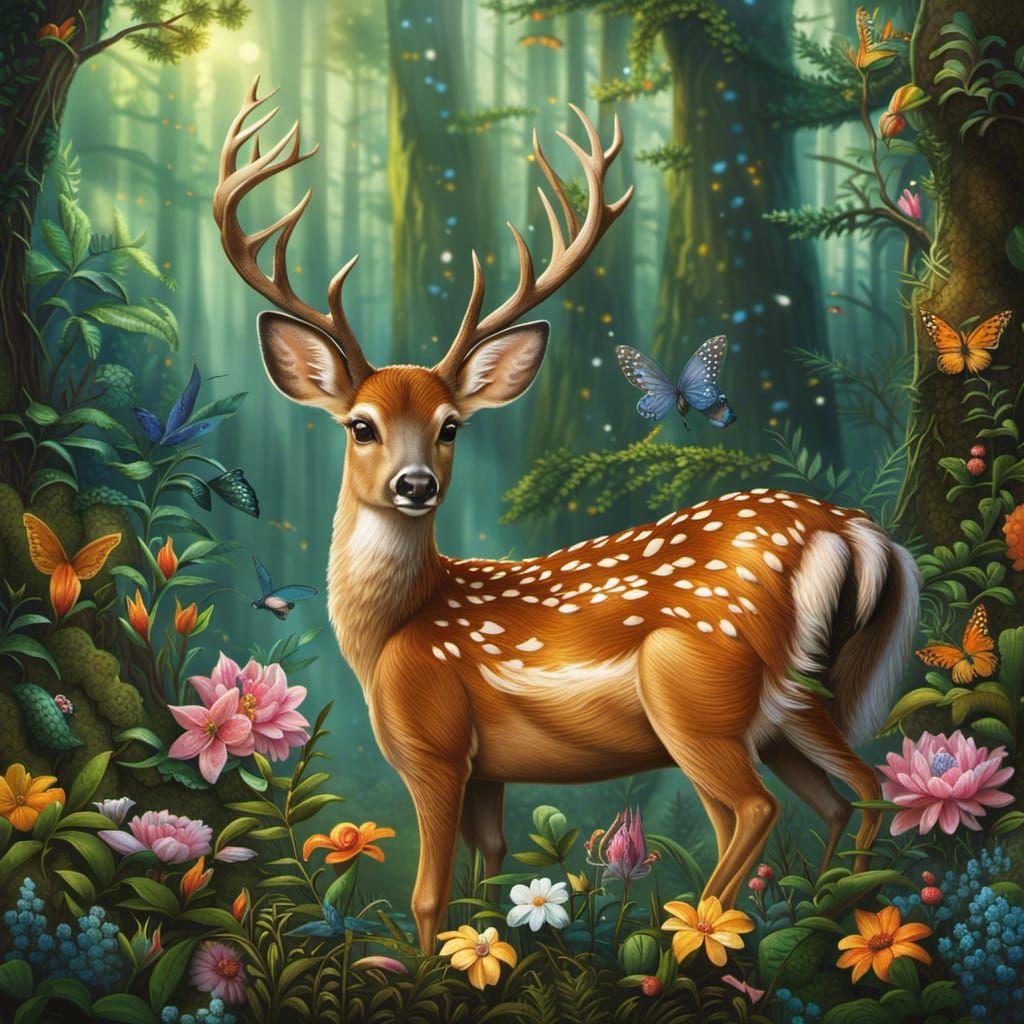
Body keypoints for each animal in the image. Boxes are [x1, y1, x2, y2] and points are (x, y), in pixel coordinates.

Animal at [214, 78, 921, 953]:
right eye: (360, 425)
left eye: (452, 425)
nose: (415, 484)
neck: (389, 633)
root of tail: (854, 531)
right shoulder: (489, 769)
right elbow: (486, 873)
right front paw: (479, 953)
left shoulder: (435, 745)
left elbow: (428, 897)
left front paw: (422, 967)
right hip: (793, 698)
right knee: (853, 788)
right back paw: (822, 913)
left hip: (697, 690)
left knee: (756, 810)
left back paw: (691, 937)